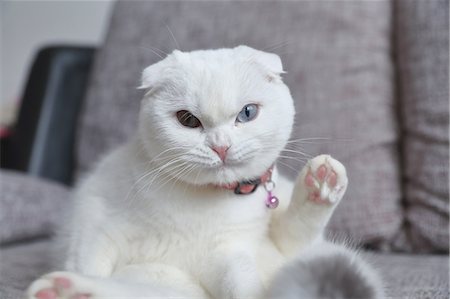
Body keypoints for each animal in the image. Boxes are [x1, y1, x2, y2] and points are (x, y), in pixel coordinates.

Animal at [26, 45, 382, 298]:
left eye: (247, 113)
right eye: (187, 119)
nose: (220, 146)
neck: (202, 209)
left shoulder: (229, 254)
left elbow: (249, 283)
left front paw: (324, 181)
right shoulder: (96, 222)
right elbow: (88, 260)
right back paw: (65, 291)